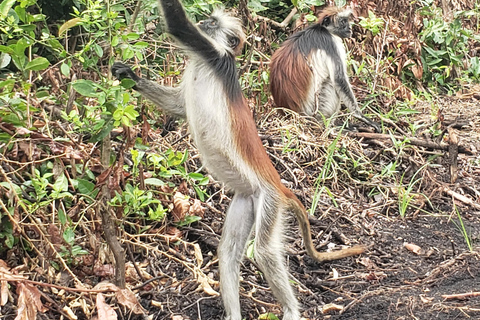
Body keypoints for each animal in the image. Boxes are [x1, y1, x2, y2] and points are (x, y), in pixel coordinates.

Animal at [111, 1, 364, 318]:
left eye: (211, 22)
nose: (203, 22)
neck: (205, 63)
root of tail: (279, 186)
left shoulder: (212, 54)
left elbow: (178, 24)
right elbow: (178, 107)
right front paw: (128, 74)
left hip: (269, 202)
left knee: (264, 252)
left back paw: (290, 310)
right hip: (248, 200)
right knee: (228, 252)